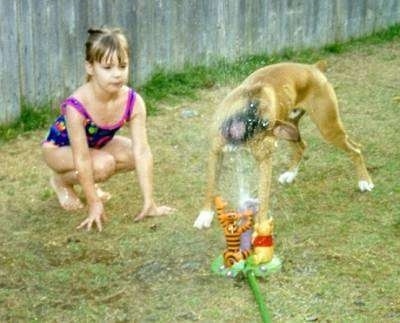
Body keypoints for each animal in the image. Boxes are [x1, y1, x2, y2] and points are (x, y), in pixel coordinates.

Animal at [195, 60, 376, 228]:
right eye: (260, 128)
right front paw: (205, 215)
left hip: (328, 127)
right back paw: (290, 174)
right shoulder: (215, 153)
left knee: (355, 149)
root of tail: (313, 67)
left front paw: (261, 224)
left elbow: (263, 193)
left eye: (266, 132)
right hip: (294, 127)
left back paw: (364, 181)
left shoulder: (264, 161)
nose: (272, 146)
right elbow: (210, 185)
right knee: (302, 146)